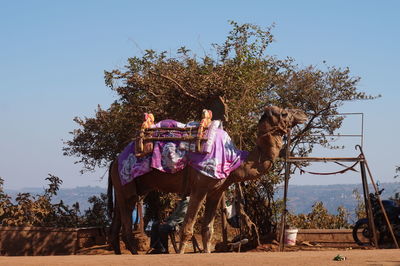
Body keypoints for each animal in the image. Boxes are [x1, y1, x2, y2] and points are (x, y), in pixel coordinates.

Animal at [106, 105, 306, 255]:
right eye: (284, 113)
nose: (303, 114)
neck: (234, 161)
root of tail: (115, 161)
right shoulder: (200, 187)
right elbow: (187, 228)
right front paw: (180, 253)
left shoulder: (216, 191)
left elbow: (207, 229)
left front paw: (207, 252)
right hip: (126, 183)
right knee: (125, 221)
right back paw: (133, 252)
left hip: (129, 186)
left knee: (116, 221)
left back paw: (119, 252)